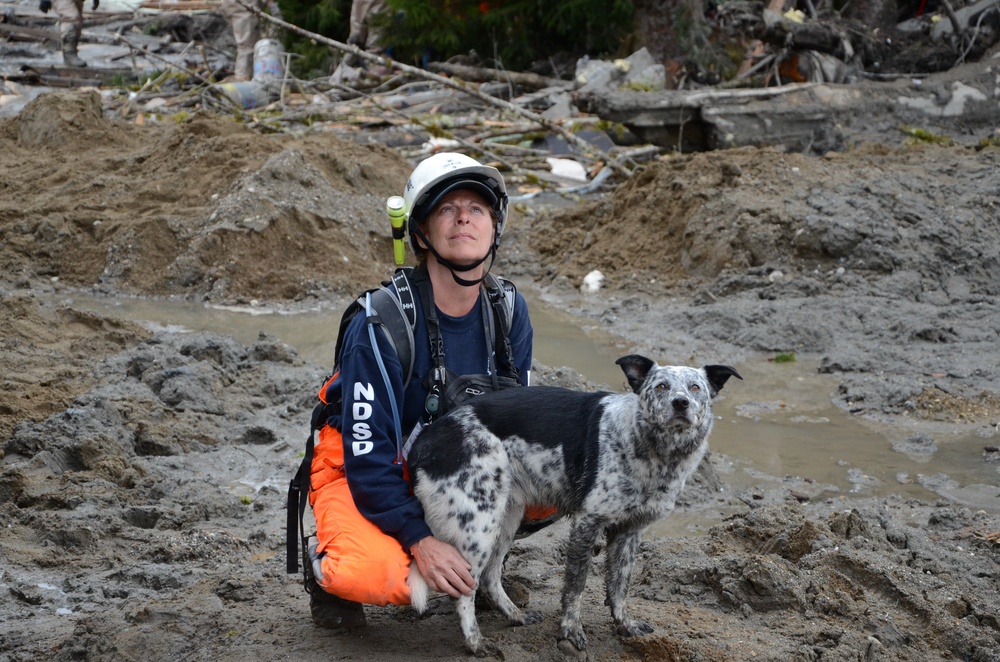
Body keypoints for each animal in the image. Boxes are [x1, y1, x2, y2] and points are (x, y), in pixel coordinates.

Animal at [406, 356, 744, 656]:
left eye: (695, 387)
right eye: (661, 386)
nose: (680, 403)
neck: (650, 446)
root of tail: (425, 440)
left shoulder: (629, 532)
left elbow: (619, 586)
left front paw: (625, 625)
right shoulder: (587, 523)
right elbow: (575, 587)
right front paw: (570, 632)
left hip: (506, 516)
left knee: (490, 577)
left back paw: (515, 616)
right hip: (479, 525)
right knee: (465, 589)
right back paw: (475, 642)